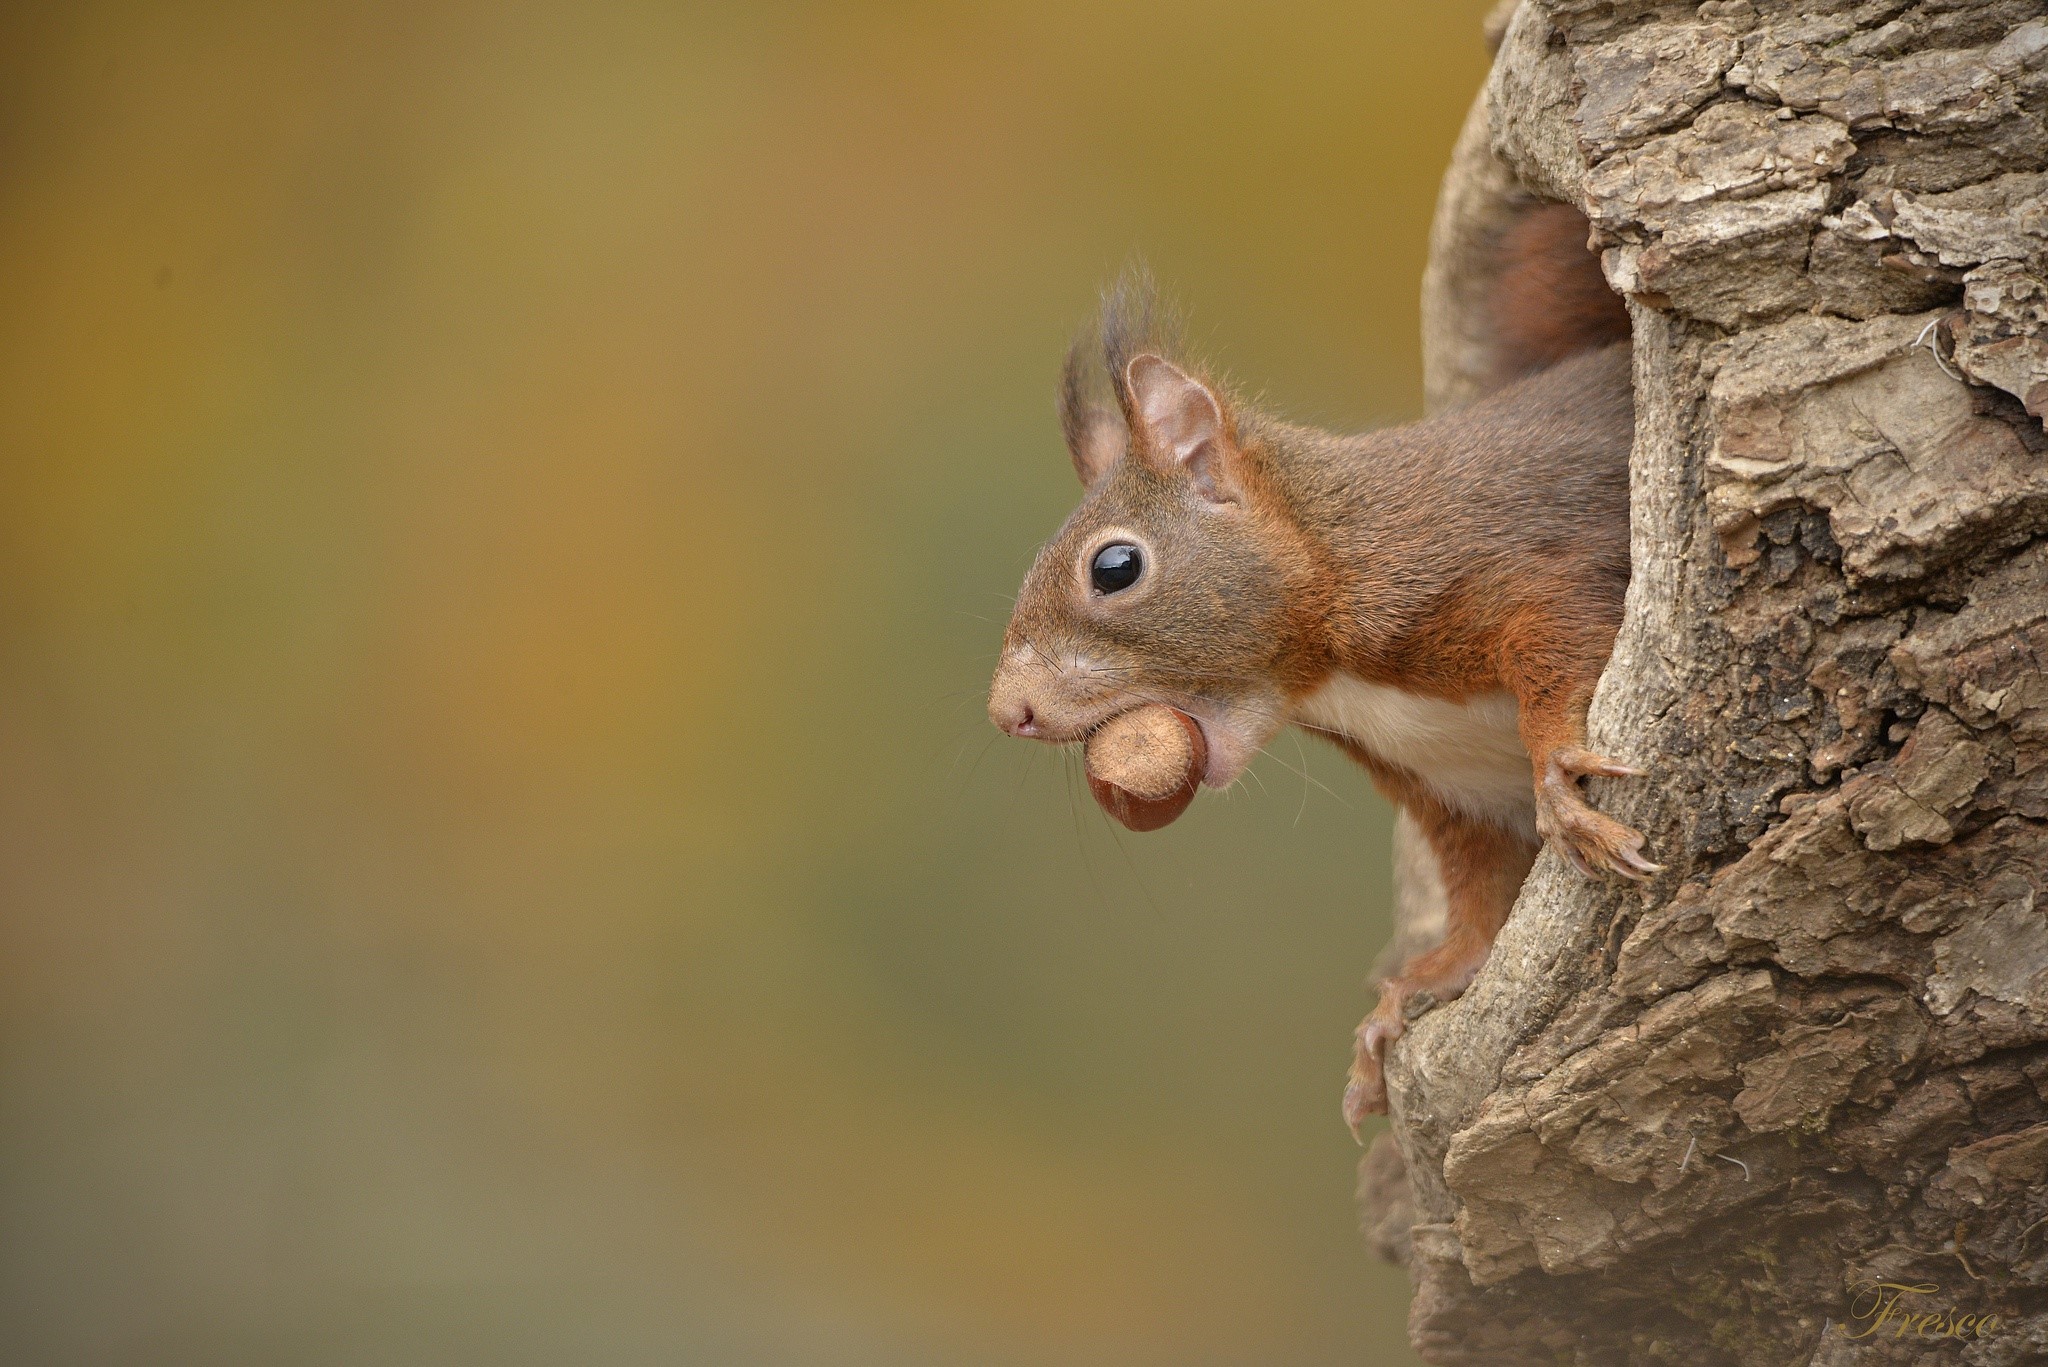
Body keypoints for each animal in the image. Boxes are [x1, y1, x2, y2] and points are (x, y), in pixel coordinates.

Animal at [987, 201, 1647, 1127]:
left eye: (1115, 567)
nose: (1006, 709)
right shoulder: (1454, 791)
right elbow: (1481, 900)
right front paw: (1409, 997)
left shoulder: (1516, 566)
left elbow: (1566, 639)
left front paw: (1562, 777)